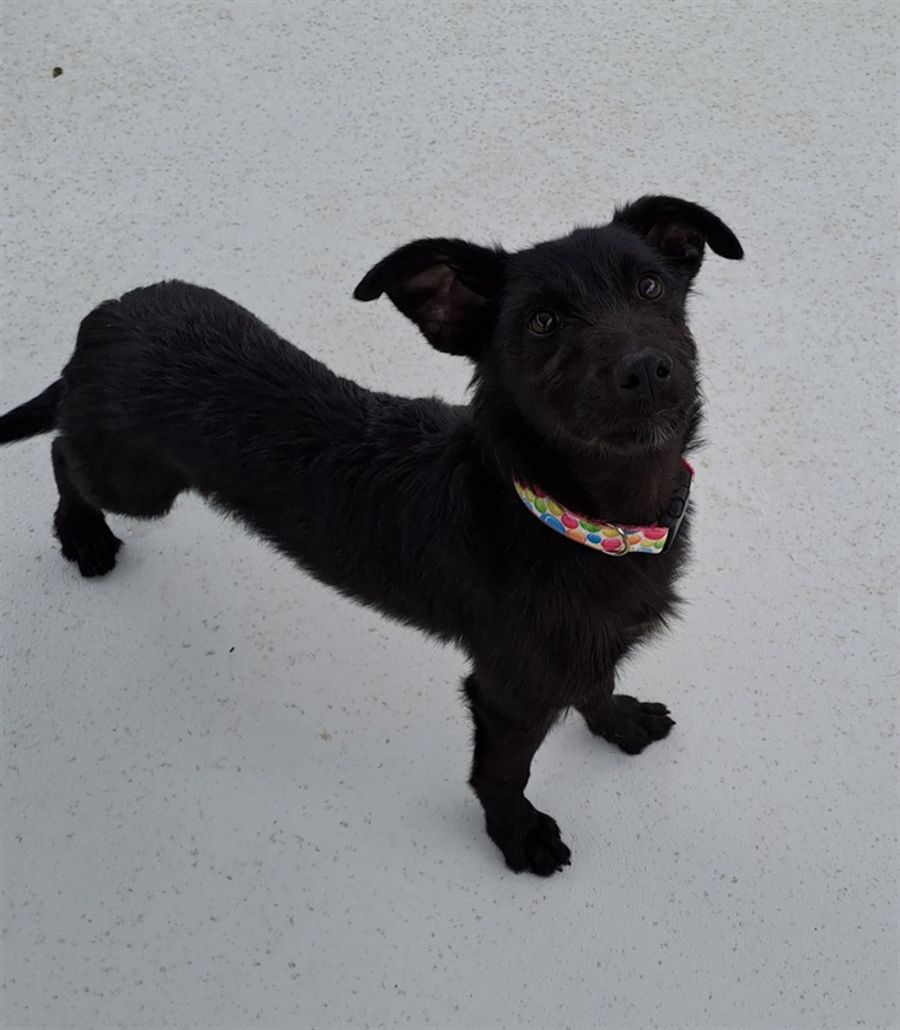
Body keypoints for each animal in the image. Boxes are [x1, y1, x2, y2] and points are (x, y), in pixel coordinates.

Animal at [0, 196, 742, 875]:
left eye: (650, 287)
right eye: (542, 322)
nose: (646, 368)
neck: (573, 519)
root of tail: (103, 321)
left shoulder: (584, 647)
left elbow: (595, 685)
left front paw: (620, 723)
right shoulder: (507, 690)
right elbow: (504, 772)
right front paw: (518, 833)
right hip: (136, 483)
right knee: (62, 452)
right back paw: (82, 535)